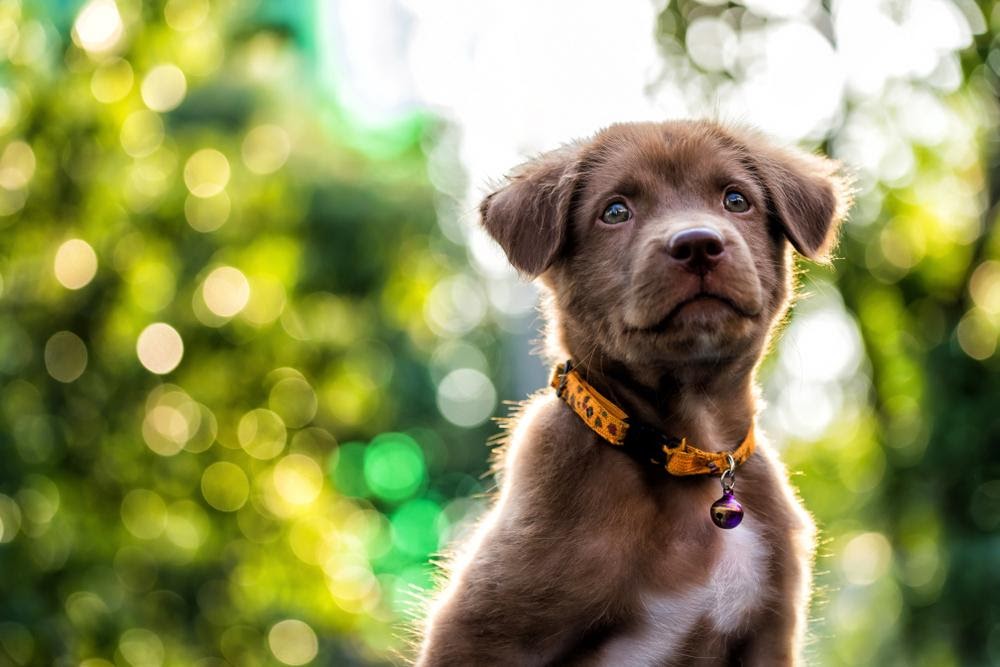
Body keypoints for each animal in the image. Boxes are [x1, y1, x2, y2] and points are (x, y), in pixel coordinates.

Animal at [414, 121, 852, 667]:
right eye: (616, 211)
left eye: (736, 200)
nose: (698, 244)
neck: (693, 454)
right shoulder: (477, 632)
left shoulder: (771, 632)